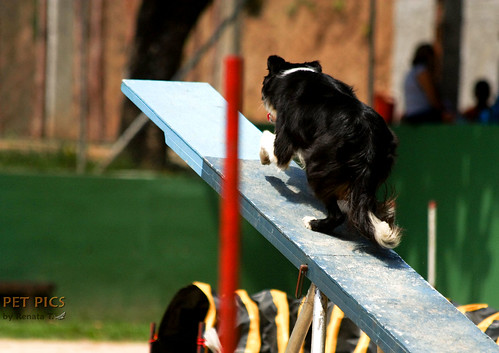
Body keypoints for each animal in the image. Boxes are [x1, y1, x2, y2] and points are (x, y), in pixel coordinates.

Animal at [260, 55, 400, 248]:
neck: (290, 74)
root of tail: (368, 136)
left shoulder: (284, 139)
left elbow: (267, 139)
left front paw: (264, 158)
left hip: (318, 165)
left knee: (337, 215)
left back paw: (313, 223)